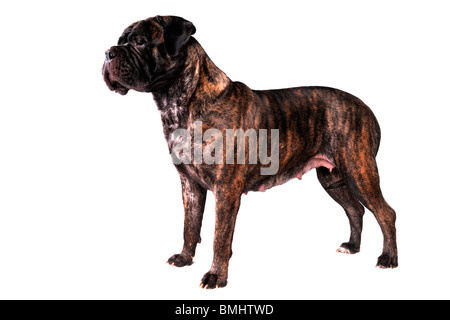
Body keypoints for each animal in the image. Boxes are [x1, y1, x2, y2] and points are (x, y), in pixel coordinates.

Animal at [102, 16, 398, 288]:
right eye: (120, 41)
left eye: (140, 42)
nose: (108, 53)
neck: (182, 103)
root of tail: (366, 108)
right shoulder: (190, 185)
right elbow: (190, 225)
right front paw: (185, 259)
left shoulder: (226, 189)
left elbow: (219, 237)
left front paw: (216, 276)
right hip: (332, 177)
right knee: (355, 209)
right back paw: (352, 246)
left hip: (358, 170)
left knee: (385, 213)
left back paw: (388, 259)